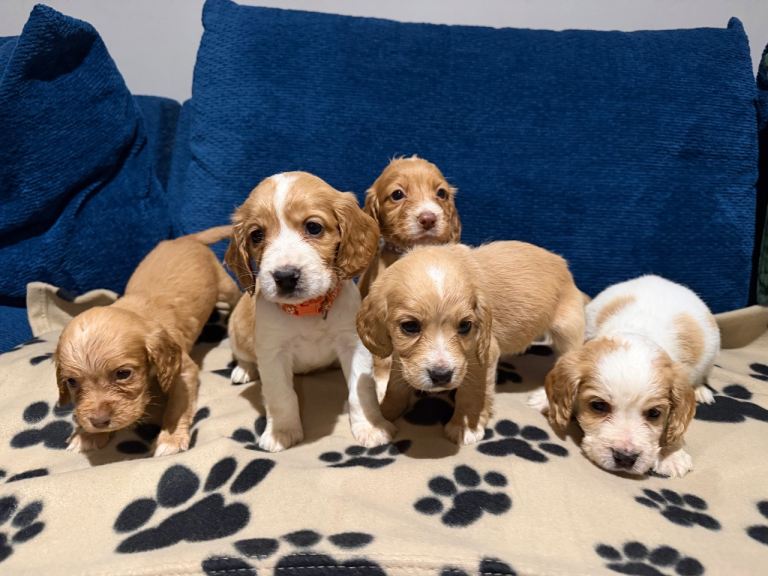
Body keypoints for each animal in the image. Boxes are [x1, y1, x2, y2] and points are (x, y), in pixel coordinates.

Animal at [55, 226, 240, 456]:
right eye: (71, 382)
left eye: (123, 374)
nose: (99, 422)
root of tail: (186, 238)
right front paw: (89, 435)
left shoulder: (183, 370)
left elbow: (177, 407)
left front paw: (170, 438)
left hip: (225, 285)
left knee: (237, 296)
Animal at [225, 171, 395, 451]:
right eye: (256, 235)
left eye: (313, 227)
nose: (285, 277)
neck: (308, 309)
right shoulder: (272, 352)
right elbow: (281, 395)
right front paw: (282, 432)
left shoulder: (353, 344)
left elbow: (362, 391)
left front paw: (370, 427)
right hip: (237, 330)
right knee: (244, 356)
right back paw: (244, 370)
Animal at [357, 241, 585, 445]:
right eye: (410, 326)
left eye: (465, 326)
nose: (441, 376)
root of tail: (563, 264)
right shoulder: (402, 356)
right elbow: (395, 386)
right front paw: (383, 415)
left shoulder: (483, 355)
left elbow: (472, 392)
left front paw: (464, 426)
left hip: (567, 330)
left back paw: (543, 399)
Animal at [539, 275, 720, 478]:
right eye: (598, 406)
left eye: (654, 413)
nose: (625, 457)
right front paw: (543, 399)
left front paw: (672, 455)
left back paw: (701, 391)